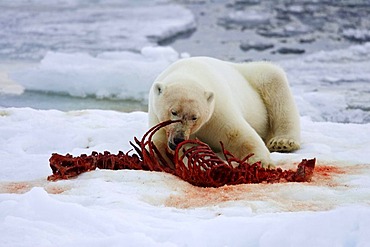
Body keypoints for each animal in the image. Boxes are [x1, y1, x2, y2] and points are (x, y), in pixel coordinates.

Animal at [147, 57, 300, 167]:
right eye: (173, 112)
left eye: (194, 117)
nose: (179, 139)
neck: (189, 71)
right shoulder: (157, 119)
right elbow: (158, 143)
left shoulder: (218, 111)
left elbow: (238, 135)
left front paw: (262, 163)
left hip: (255, 78)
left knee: (274, 82)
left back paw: (282, 142)